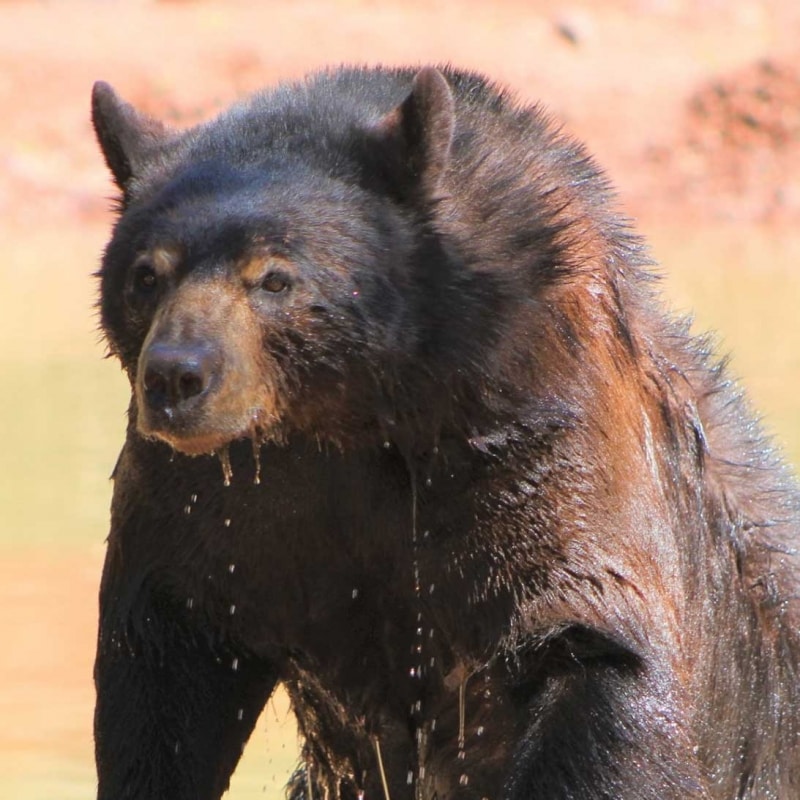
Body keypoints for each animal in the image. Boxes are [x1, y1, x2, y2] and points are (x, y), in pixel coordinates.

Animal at [89, 69, 800, 800]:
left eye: (274, 276)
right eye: (146, 273)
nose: (177, 375)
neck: (353, 412)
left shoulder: (540, 453)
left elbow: (598, 657)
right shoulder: (212, 503)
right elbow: (162, 664)